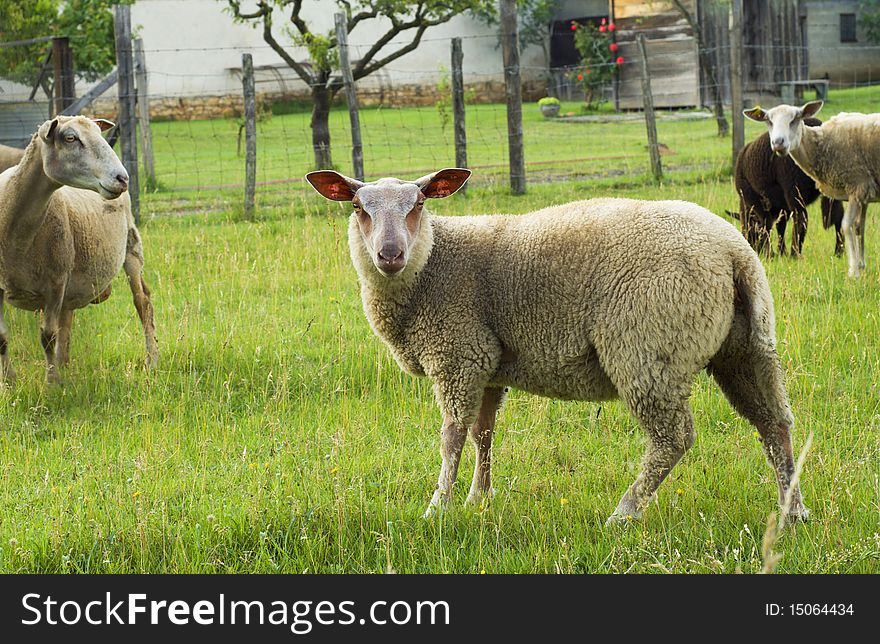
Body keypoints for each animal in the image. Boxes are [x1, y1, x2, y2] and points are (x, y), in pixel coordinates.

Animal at [0, 116, 156, 384]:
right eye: (70, 138)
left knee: (142, 302)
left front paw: (52, 384)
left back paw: (151, 361)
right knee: (68, 315)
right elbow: (2, 339)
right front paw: (10, 382)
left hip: (131, 245)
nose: (122, 178)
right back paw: (64, 363)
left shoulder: (55, 281)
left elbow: (48, 336)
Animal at [306, 169, 808, 524]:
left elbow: (452, 436)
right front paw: (478, 499)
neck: (432, 265)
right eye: (358, 206)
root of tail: (733, 252)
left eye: (420, 203)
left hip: (647, 349)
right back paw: (793, 510)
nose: (390, 254)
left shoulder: (457, 355)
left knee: (674, 438)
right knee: (774, 423)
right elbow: (483, 434)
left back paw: (625, 511)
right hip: (745, 346)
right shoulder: (487, 363)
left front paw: (438, 507)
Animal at [732, 117, 844, 258]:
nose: (752, 247)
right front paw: (781, 251)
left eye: (749, 227)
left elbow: (766, 224)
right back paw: (838, 251)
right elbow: (780, 225)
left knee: (801, 218)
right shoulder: (781, 205)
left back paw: (795, 254)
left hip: (794, 187)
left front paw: (771, 254)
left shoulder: (754, 200)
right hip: (834, 184)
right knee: (839, 216)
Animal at [744, 102, 880, 278]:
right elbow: (859, 227)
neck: (819, 143)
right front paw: (861, 266)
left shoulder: (857, 185)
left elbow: (847, 225)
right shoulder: (864, 192)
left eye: (795, 119)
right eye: (769, 121)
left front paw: (853, 271)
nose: (778, 142)